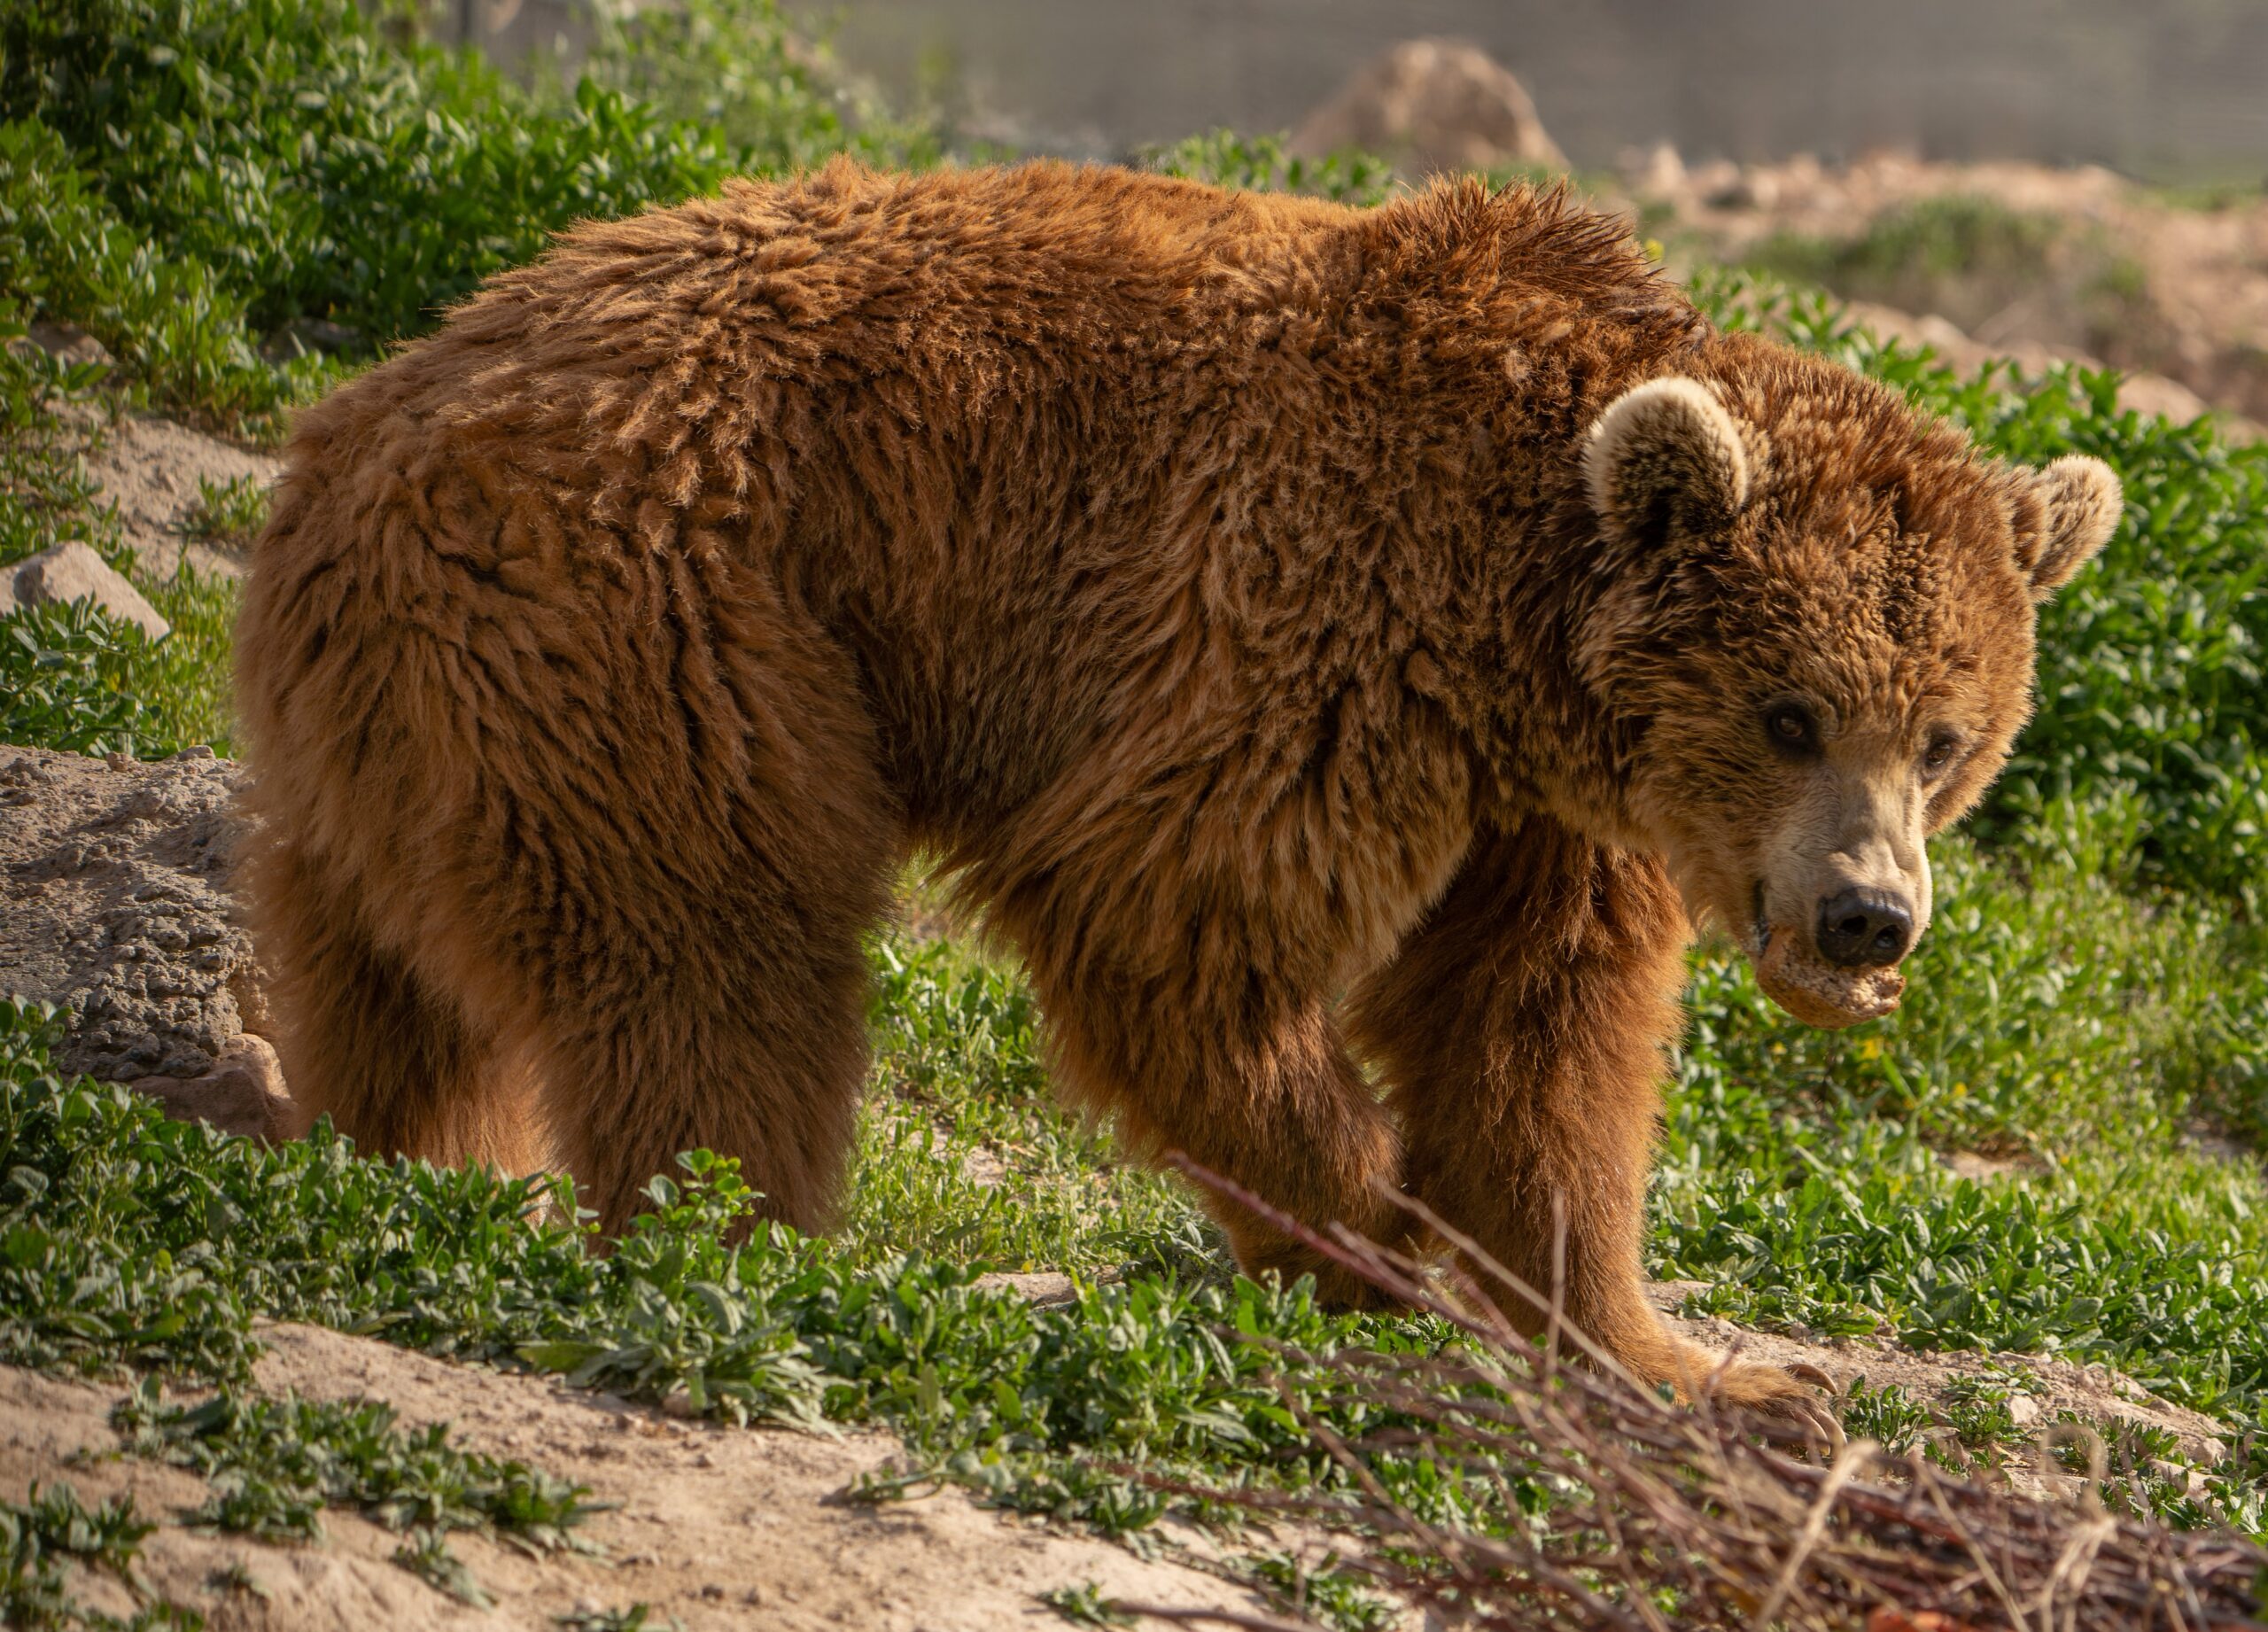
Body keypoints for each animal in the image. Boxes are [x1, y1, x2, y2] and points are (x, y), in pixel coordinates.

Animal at [235, 158, 2119, 1414]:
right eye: (1795, 711)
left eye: (1944, 733)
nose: (1867, 914)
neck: (1515, 606)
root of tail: (357, 428)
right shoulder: (1307, 611)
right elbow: (1177, 921)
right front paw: (1376, 1234)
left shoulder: (1549, 809)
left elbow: (1545, 1035)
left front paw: (1680, 1352)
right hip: (666, 605)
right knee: (716, 954)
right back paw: (756, 1249)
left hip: (404, 734)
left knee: (401, 993)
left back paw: (404, 1161)